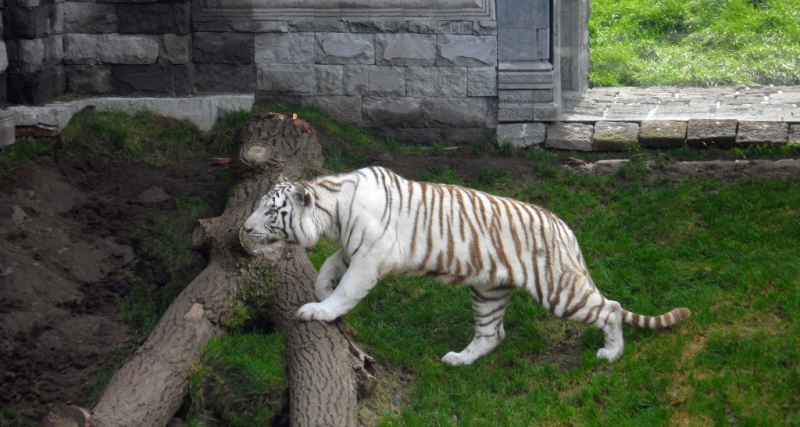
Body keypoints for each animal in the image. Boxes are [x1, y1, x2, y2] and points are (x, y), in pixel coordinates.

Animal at [242, 166, 688, 366]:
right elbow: (329, 267)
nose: (244, 228)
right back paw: (458, 359)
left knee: (610, 308)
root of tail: (566, 229)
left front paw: (319, 310)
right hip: (488, 291)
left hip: (559, 291)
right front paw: (321, 291)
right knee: (493, 334)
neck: (332, 211)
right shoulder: (355, 251)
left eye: (270, 212)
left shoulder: (369, 260)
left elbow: (347, 289)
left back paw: (611, 353)